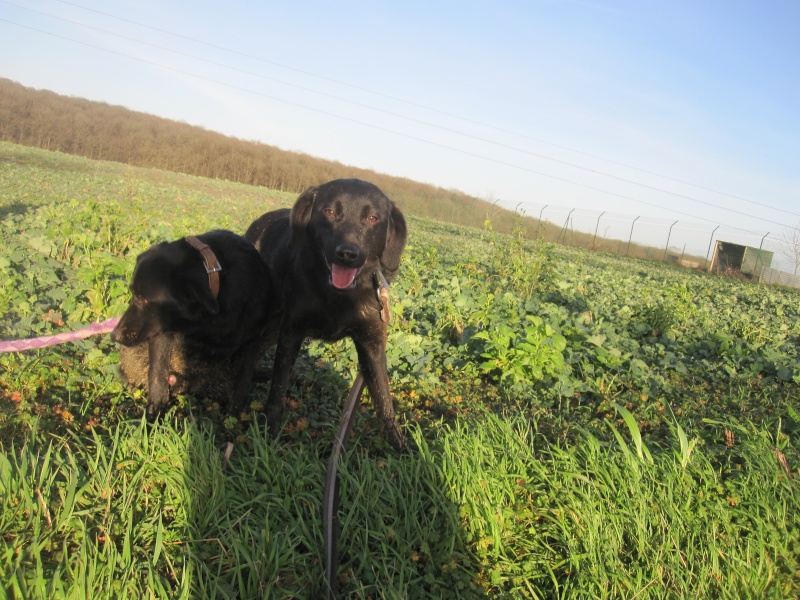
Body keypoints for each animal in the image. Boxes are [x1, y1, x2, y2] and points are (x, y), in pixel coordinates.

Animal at [109, 230, 274, 418]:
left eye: (142, 298)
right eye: (134, 294)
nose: (113, 335)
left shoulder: (252, 336)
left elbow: (244, 378)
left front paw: (236, 412)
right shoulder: (163, 330)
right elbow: (157, 371)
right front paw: (155, 410)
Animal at [245, 178, 410, 450]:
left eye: (373, 218)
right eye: (330, 212)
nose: (348, 254)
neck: (337, 296)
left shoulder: (372, 343)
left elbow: (383, 396)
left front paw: (400, 446)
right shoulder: (291, 333)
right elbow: (278, 387)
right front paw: (270, 433)